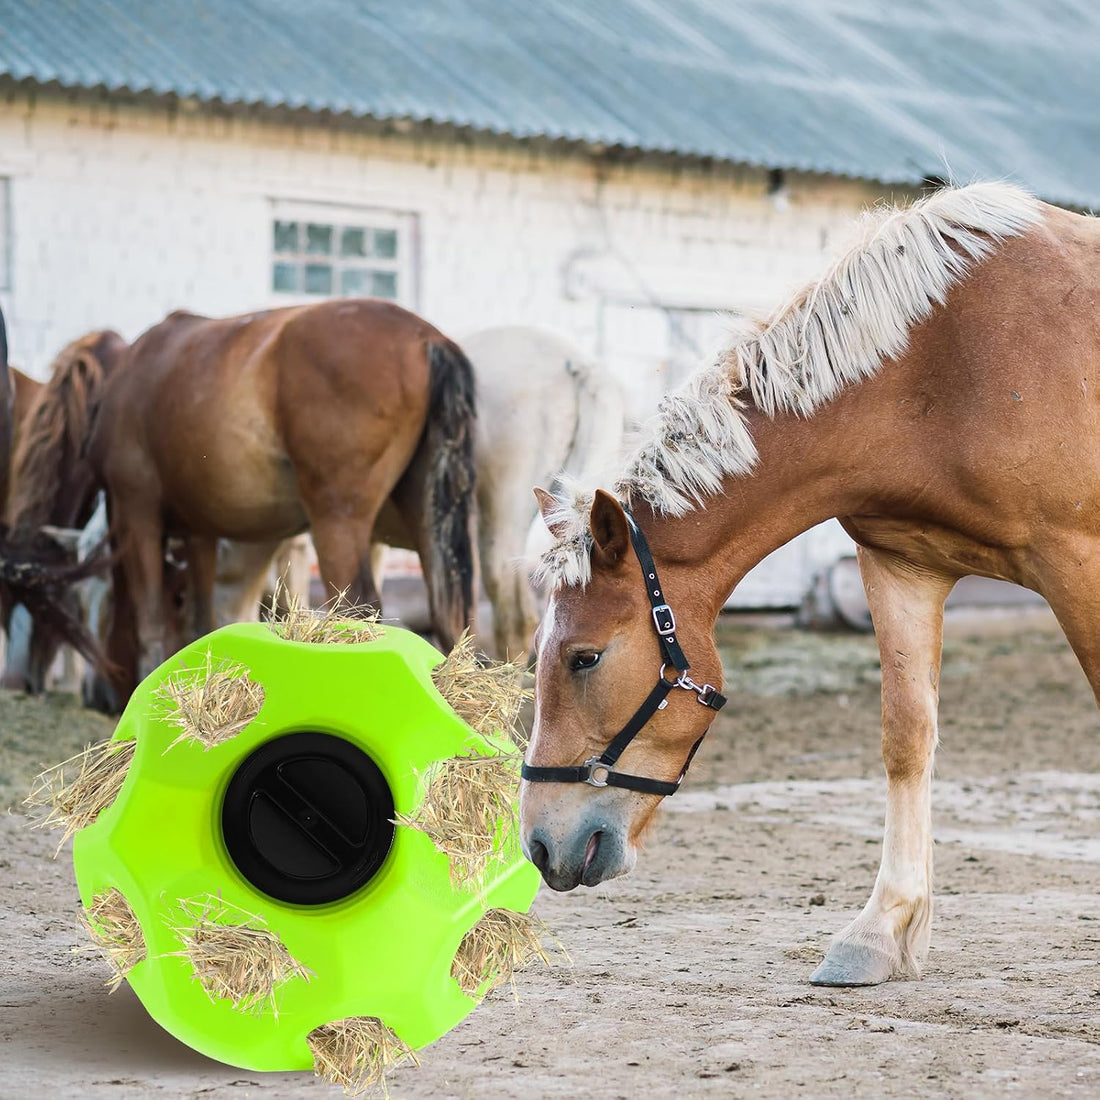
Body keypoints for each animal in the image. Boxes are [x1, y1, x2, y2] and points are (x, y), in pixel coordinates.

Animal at [86, 299, 477, 687]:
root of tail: (426, 337)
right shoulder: (199, 531)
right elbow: (201, 622)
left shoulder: (136, 515)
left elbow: (149, 624)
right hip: (425, 517)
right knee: (450, 617)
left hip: (337, 521)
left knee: (357, 610)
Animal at [519, 181, 1100, 989]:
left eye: (585, 658)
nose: (542, 845)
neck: (949, 366)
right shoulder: (901, 566)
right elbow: (906, 738)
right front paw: (878, 932)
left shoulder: (1077, 560)